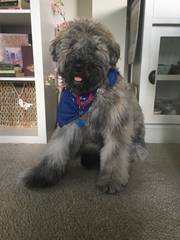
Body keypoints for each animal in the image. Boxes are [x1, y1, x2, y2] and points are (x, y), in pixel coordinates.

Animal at [21, 19, 146, 194]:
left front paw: (111, 179)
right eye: (71, 44)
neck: (89, 95)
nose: (78, 65)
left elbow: (114, 155)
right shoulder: (66, 123)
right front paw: (43, 174)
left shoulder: (116, 127)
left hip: (135, 141)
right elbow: (55, 150)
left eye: (94, 48)